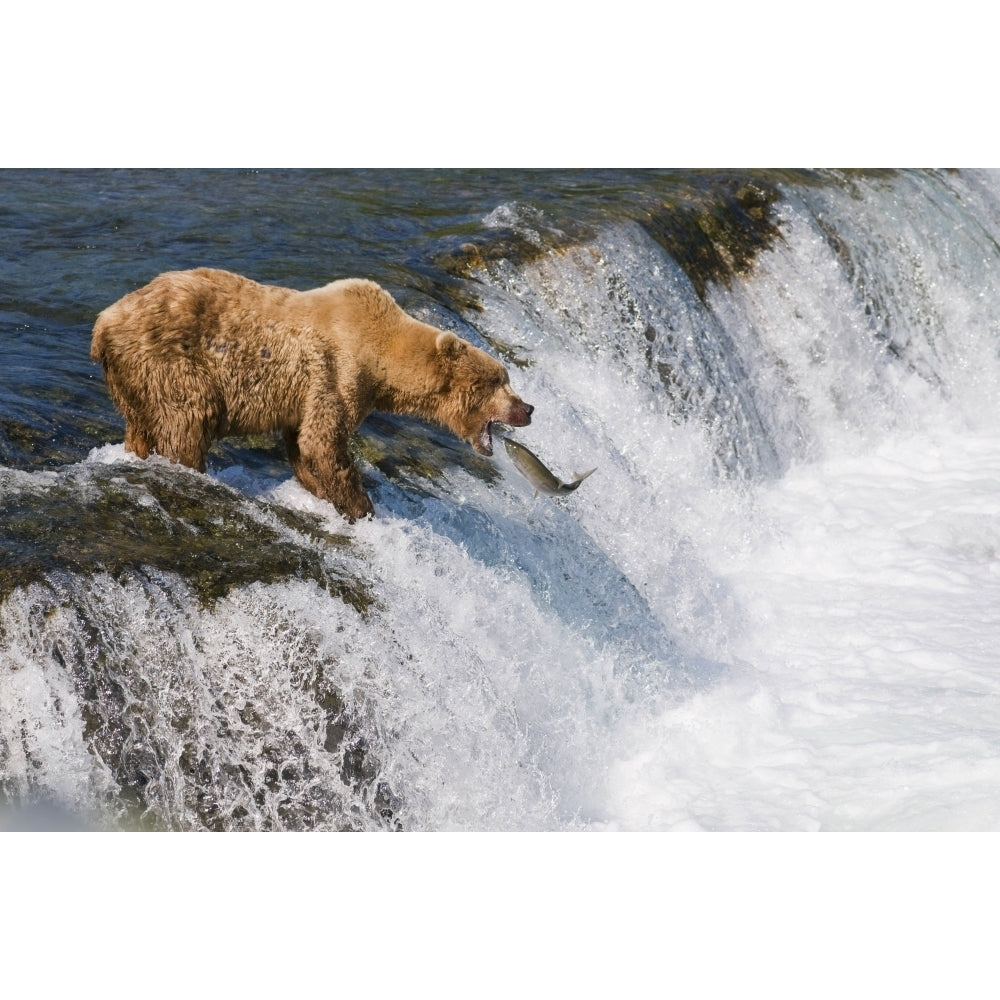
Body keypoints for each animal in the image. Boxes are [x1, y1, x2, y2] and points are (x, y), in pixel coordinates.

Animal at [90, 270, 536, 524]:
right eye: (498, 380)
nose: (528, 408)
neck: (383, 360)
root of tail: (103, 323)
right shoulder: (337, 374)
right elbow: (324, 441)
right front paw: (361, 507)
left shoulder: (306, 392)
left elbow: (302, 442)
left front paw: (318, 491)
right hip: (170, 360)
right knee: (189, 417)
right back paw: (190, 468)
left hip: (131, 379)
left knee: (142, 425)